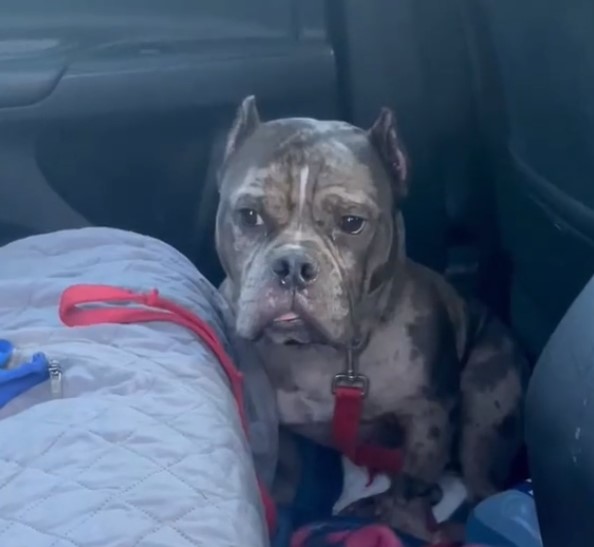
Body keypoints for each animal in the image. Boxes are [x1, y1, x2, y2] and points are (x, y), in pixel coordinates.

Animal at [214, 96, 528, 540]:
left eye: (352, 223)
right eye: (248, 215)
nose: (293, 265)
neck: (316, 354)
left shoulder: (427, 416)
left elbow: (410, 484)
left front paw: (400, 518)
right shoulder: (278, 425)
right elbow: (288, 468)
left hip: (487, 398)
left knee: (479, 486)